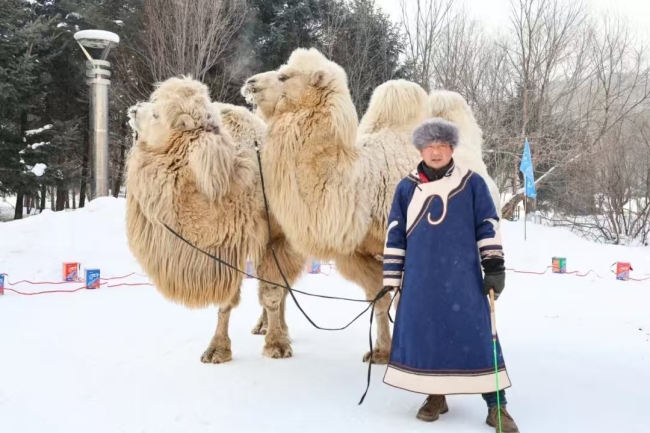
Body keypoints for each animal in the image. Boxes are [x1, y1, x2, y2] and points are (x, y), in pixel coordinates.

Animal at [125, 76, 306, 362]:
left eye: (156, 114)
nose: (133, 110)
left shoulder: (275, 237)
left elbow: (273, 293)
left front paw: (277, 344)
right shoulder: (224, 245)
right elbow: (226, 300)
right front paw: (217, 350)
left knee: (281, 285)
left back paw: (278, 329)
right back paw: (263, 325)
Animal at [239, 49, 430, 362]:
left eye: (285, 76)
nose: (250, 83)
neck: (360, 186)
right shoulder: (358, 253)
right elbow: (379, 299)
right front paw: (382, 353)